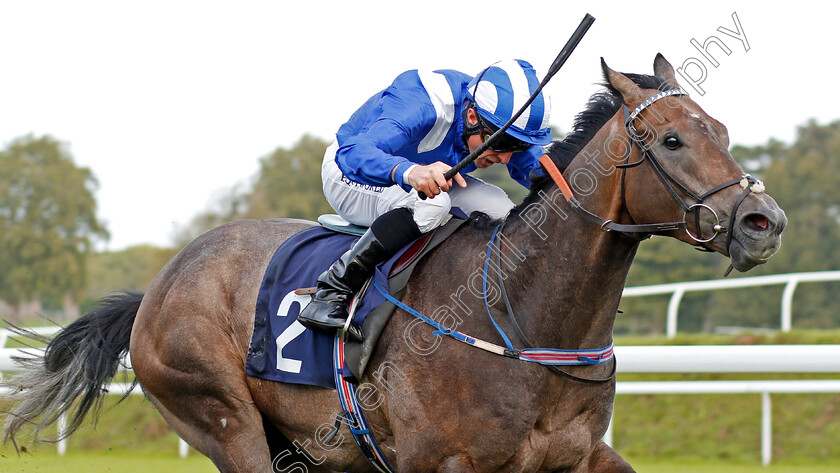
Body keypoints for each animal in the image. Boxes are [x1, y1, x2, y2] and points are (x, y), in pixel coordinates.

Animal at [1, 56, 788, 472]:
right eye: (672, 140)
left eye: (720, 130)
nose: (764, 222)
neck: (522, 319)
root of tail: (158, 287)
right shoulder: (441, 462)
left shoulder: (579, 456)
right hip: (221, 418)